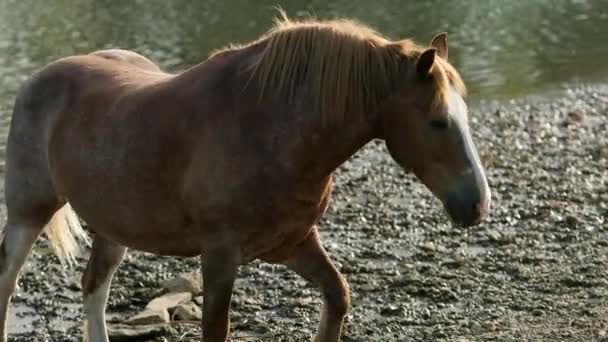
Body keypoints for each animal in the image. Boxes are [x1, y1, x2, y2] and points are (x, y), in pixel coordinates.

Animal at [0, 12, 490, 342]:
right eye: (439, 122)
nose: (478, 203)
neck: (270, 124)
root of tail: (40, 78)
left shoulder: (294, 243)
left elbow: (337, 296)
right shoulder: (220, 255)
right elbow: (217, 328)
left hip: (112, 228)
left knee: (94, 289)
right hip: (28, 214)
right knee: (8, 283)